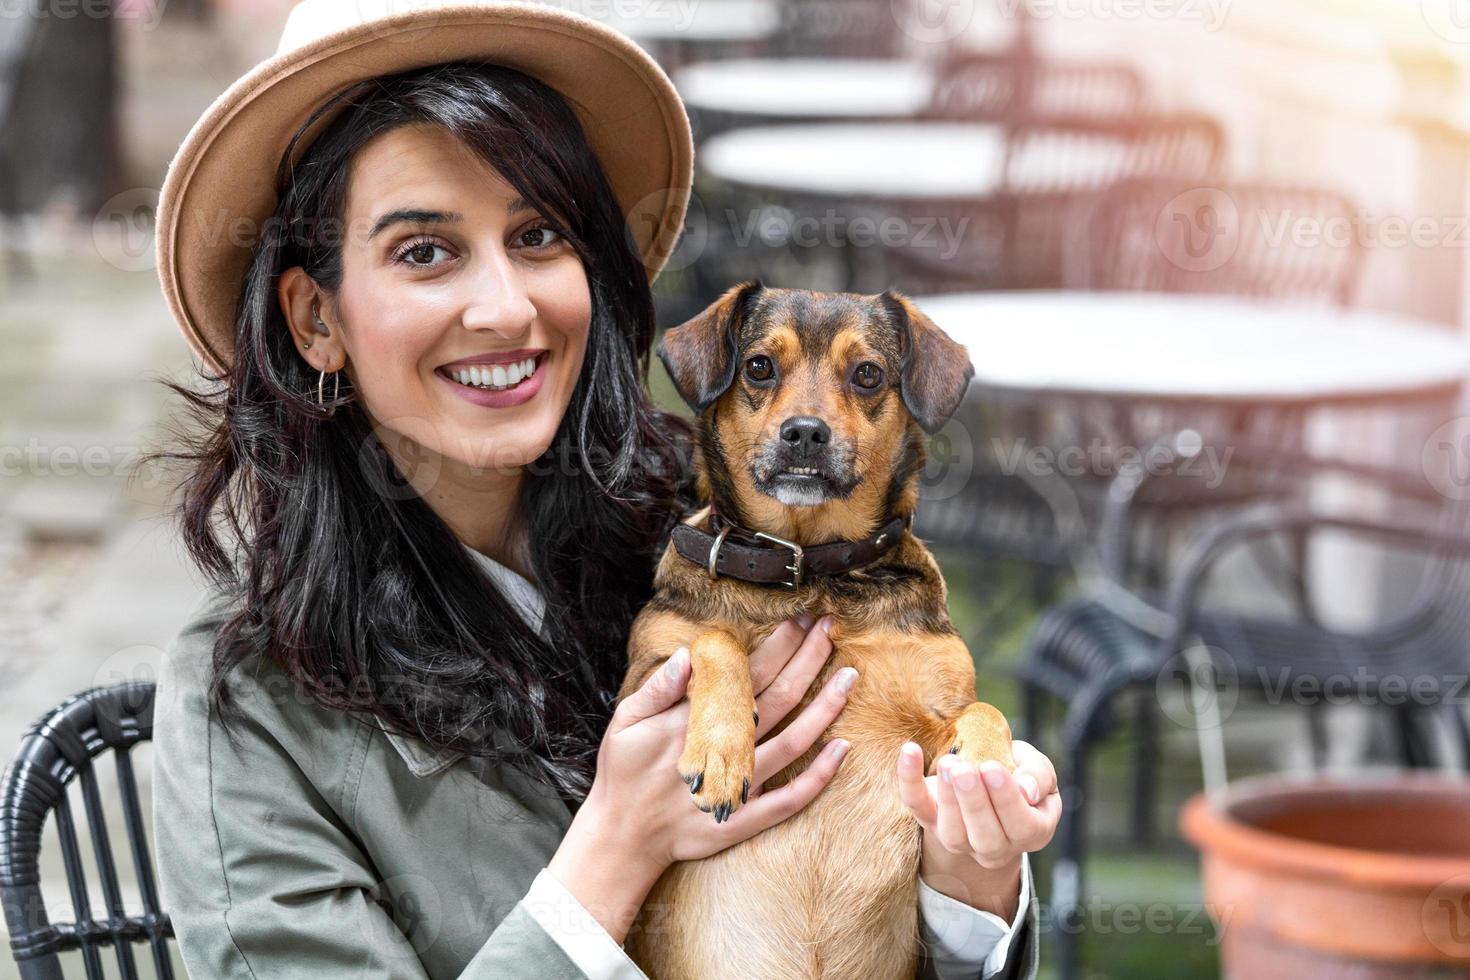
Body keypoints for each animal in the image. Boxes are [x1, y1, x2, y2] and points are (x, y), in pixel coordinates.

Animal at [623, 279, 1023, 975]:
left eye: (867, 374)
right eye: (759, 366)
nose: (805, 433)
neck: (809, 571)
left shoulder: (932, 718)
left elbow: (984, 710)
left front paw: (986, 762)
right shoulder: (637, 684)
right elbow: (714, 637)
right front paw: (723, 749)